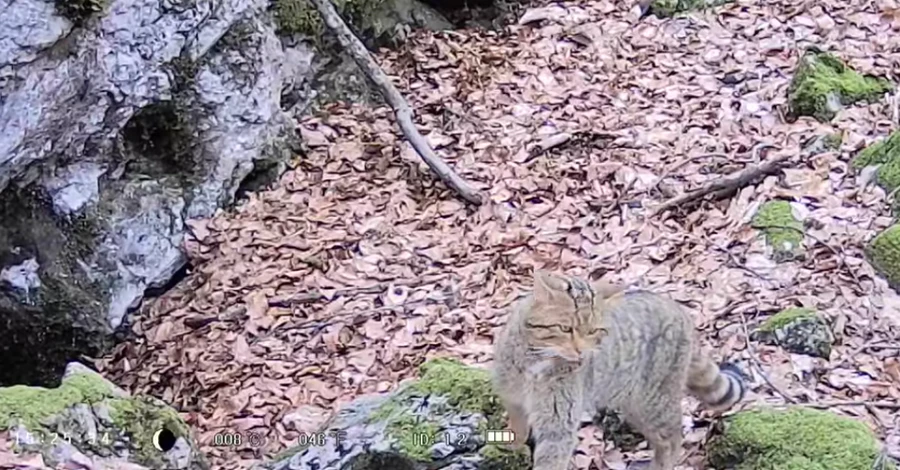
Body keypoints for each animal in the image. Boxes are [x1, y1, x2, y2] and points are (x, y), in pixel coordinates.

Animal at [492, 272, 744, 470]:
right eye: (565, 328)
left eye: (594, 331)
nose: (581, 353)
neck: (536, 362)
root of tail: (679, 310)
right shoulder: (513, 400)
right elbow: (517, 429)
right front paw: (510, 447)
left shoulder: (558, 426)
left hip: (653, 403)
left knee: (673, 439)